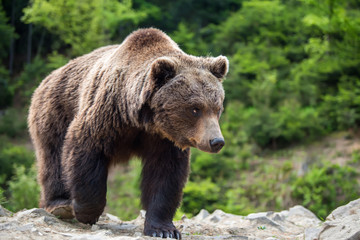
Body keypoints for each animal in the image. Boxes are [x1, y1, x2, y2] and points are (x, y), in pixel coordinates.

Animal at [29, 27, 229, 238]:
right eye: (195, 109)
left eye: (217, 108)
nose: (216, 141)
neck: (141, 119)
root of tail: (49, 77)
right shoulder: (106, 116)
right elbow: (85, 151)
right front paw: (86, 212)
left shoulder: (164, 139)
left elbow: (165, 175)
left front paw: (164, 229)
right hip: (54, 112)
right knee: (53, 159)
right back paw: (59, 205)